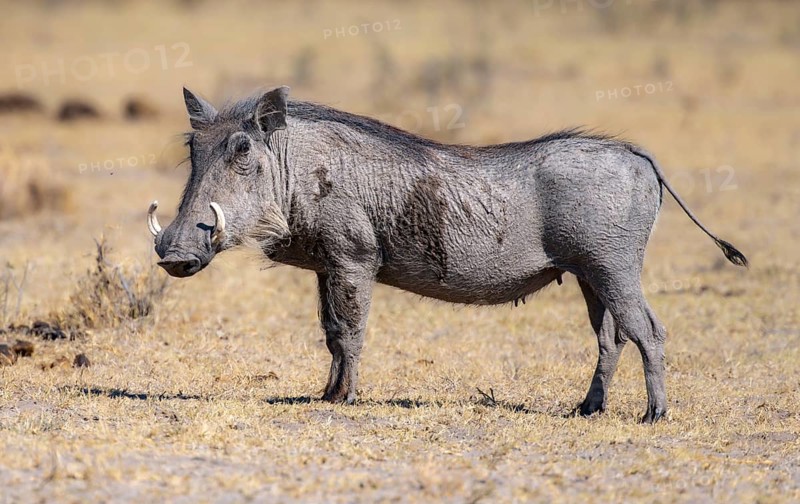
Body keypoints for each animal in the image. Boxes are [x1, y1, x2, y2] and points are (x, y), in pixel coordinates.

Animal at [148, 86, 747, 423]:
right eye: (192, 147)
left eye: (244, 149)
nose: (176, 255)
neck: (298, 169)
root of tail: (638, 154)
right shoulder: (326, 266)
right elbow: (331, 333)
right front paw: (325, 395)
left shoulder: (353, 261)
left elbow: (351, 331)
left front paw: (345, 400)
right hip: (587, 274)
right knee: (609, 337)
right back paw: (587, 410)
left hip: (614, 267)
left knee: (648, 330)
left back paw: (654, 415)